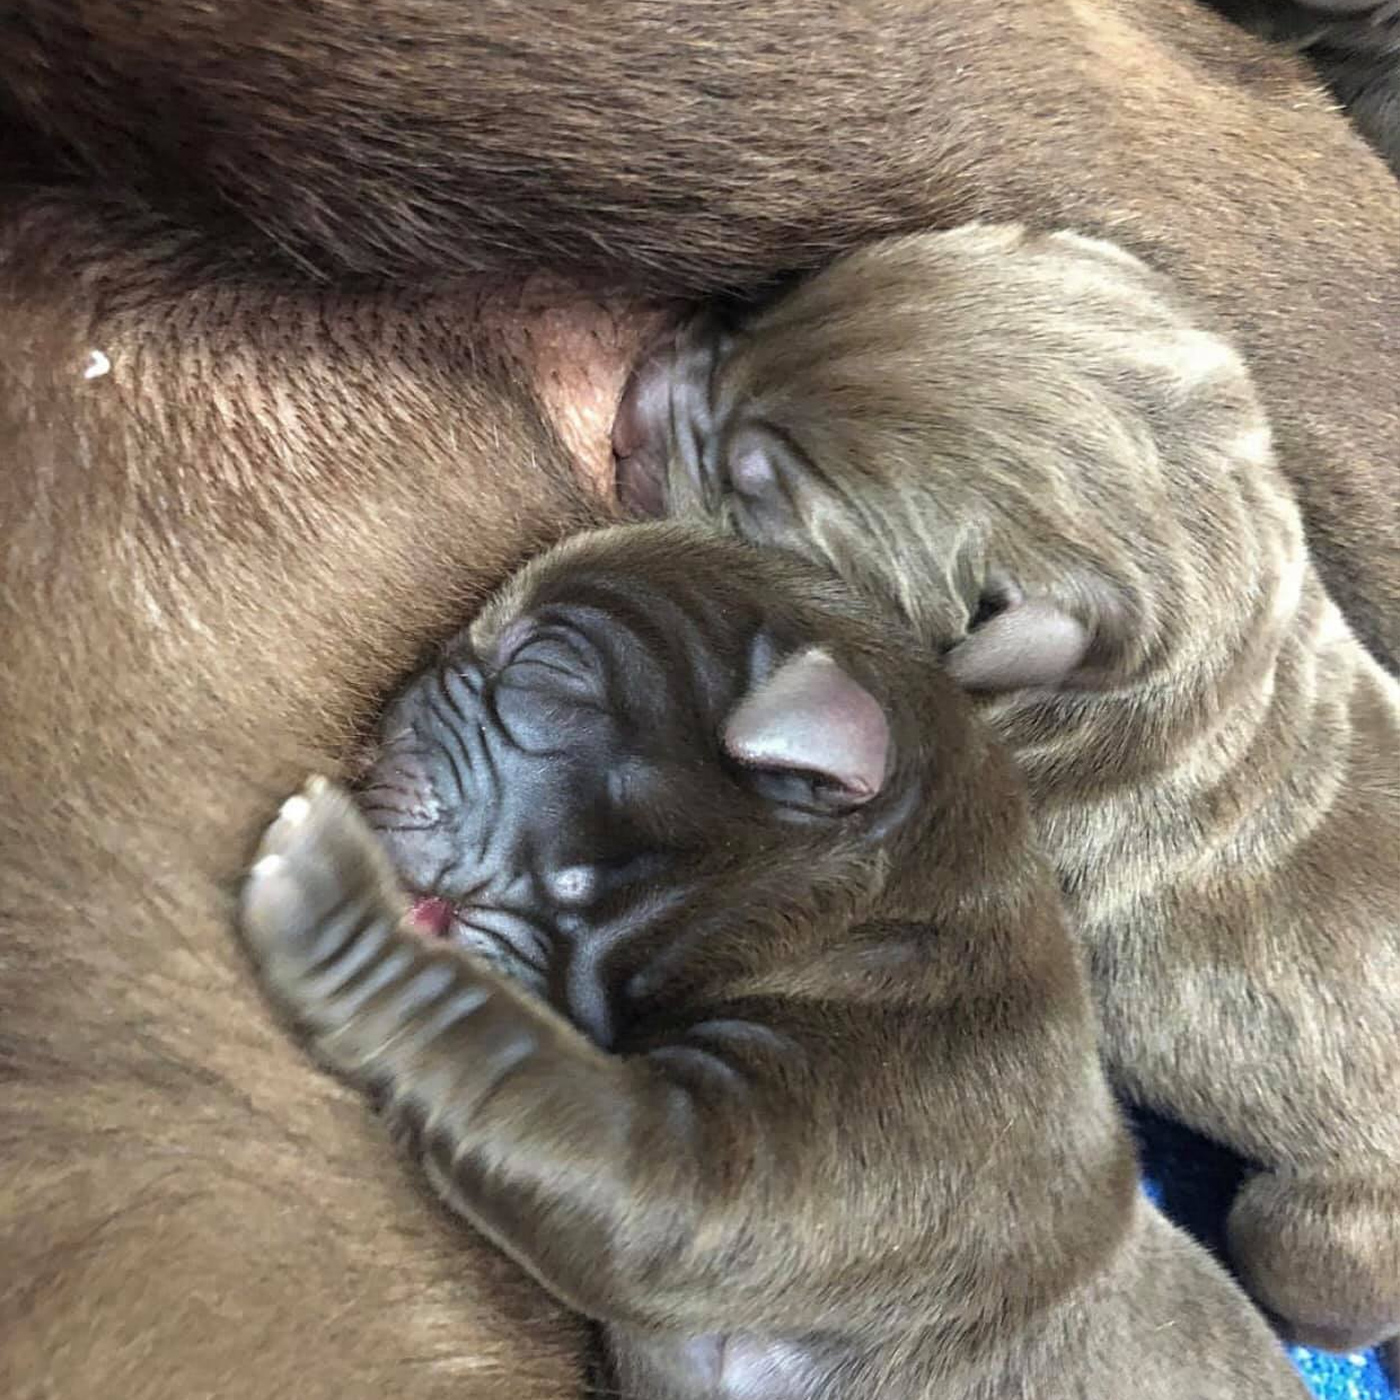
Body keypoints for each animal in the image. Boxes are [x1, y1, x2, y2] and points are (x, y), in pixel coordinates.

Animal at [238, 526, 1299, 1400]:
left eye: (543, 673)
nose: (395, 703)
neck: (856, 925)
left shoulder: (753, 1160)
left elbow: (508, 1061)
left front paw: (337, 910)